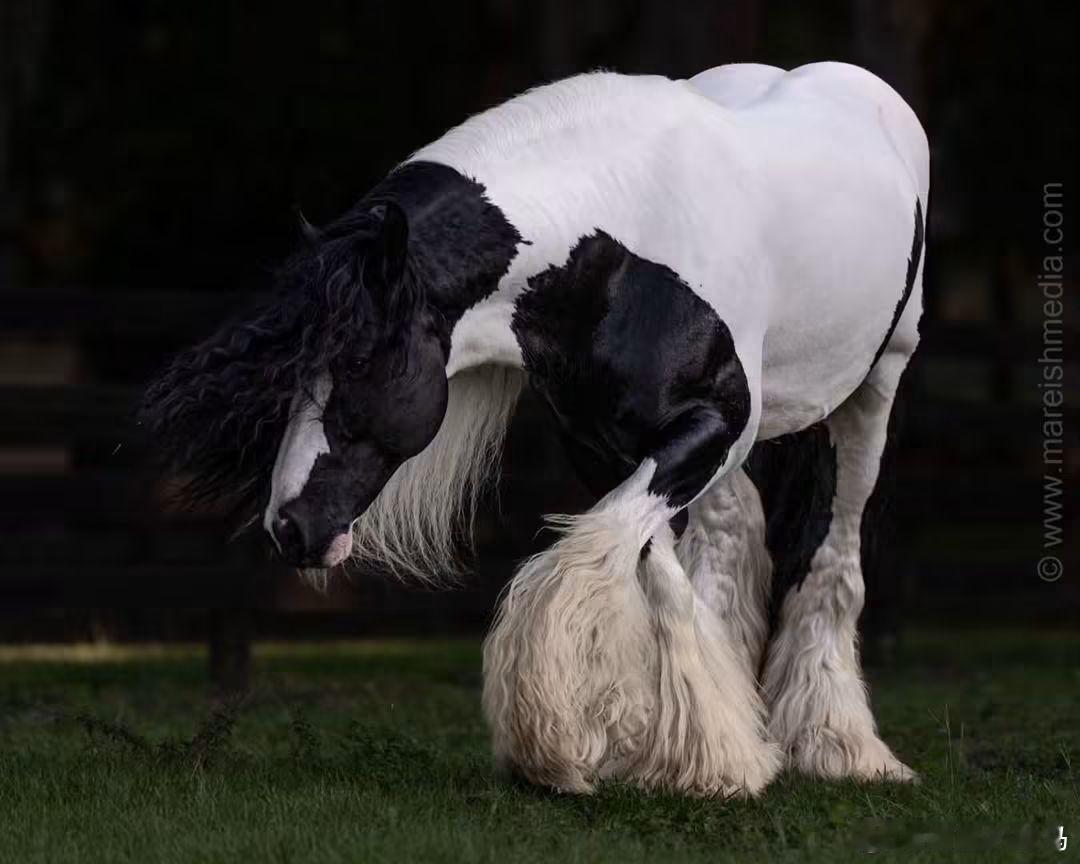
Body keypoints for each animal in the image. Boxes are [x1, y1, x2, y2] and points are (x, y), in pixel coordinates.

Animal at [141, 62, 928, 799]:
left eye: (358, 358)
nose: (290, 529)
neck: (621, 246)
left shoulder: (711, 427)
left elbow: (602, 565)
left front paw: (590, 751)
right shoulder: (605, 447)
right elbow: (651, 567)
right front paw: (704, 749)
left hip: (874, 391)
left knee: (831, 552)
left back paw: (842, 749)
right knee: (730, 539)